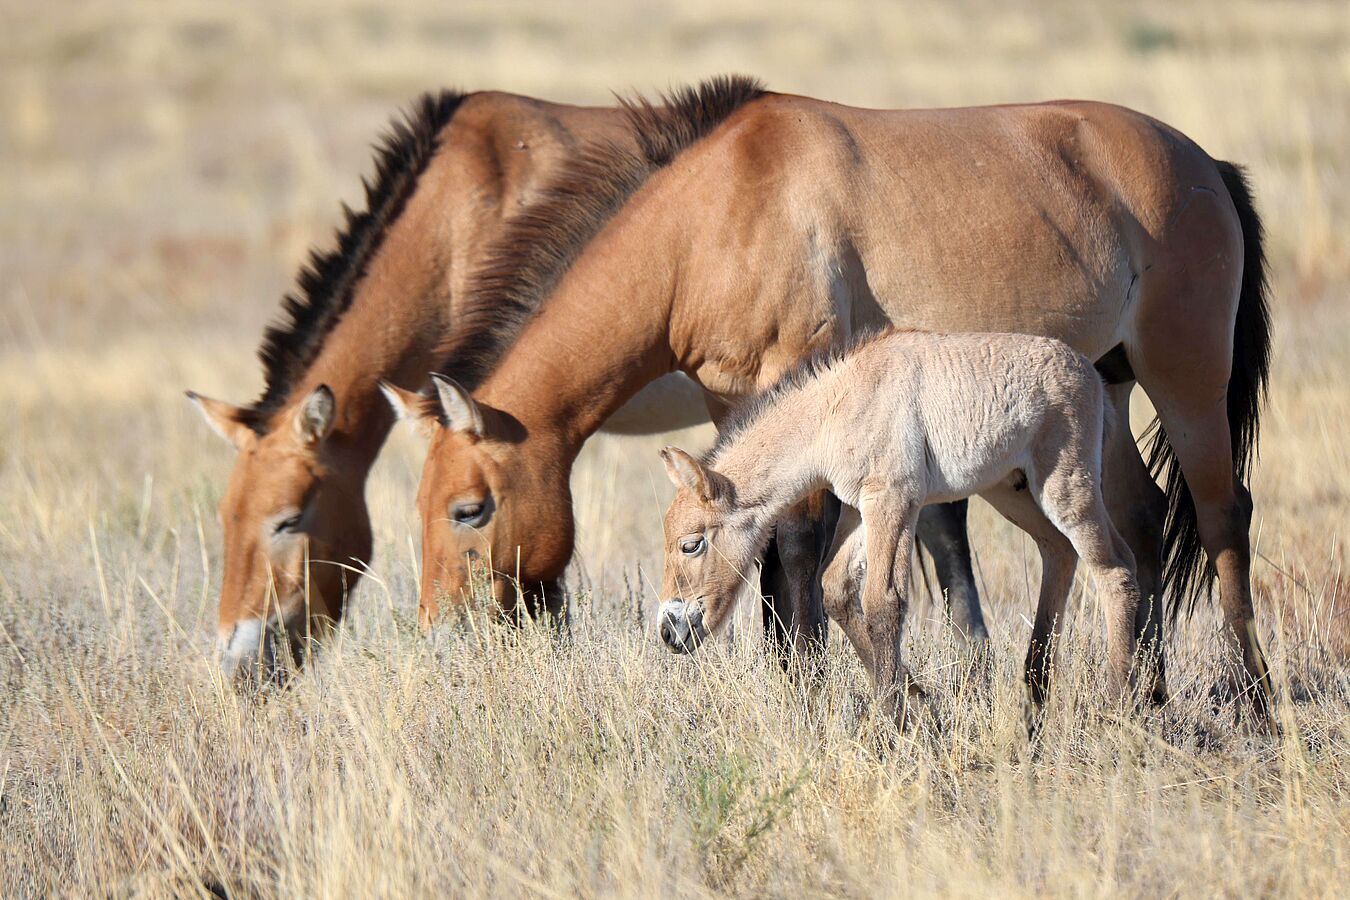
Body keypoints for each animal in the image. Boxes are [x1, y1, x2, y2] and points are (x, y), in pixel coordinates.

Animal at [656, 329, 1143, 724]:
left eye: (690, 544)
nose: (668, 630)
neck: (836, 407)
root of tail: (1091, 373)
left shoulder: (894, 500)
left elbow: (883, 602)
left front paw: (892, 724)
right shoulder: (861, 509)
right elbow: (836, 589)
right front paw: (921, 703)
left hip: (1066, 485)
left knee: (1116, 566)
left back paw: (1118, 705)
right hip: (1013, 491)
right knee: (1059, 550)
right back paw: (1035, 695)